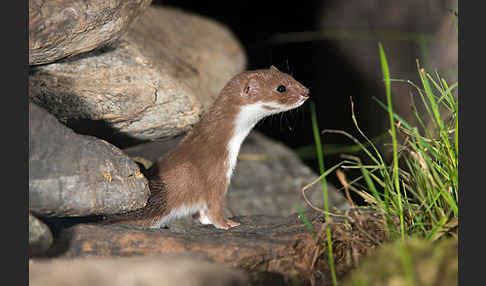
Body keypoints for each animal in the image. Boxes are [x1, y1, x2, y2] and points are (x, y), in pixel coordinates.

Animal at [107, 66, 312, 229]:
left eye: (291, 76)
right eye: (281, 87)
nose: (307, 91)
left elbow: (200, 212)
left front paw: (206, 221)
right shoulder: (215, 175)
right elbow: (214, 205)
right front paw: (227, 224)